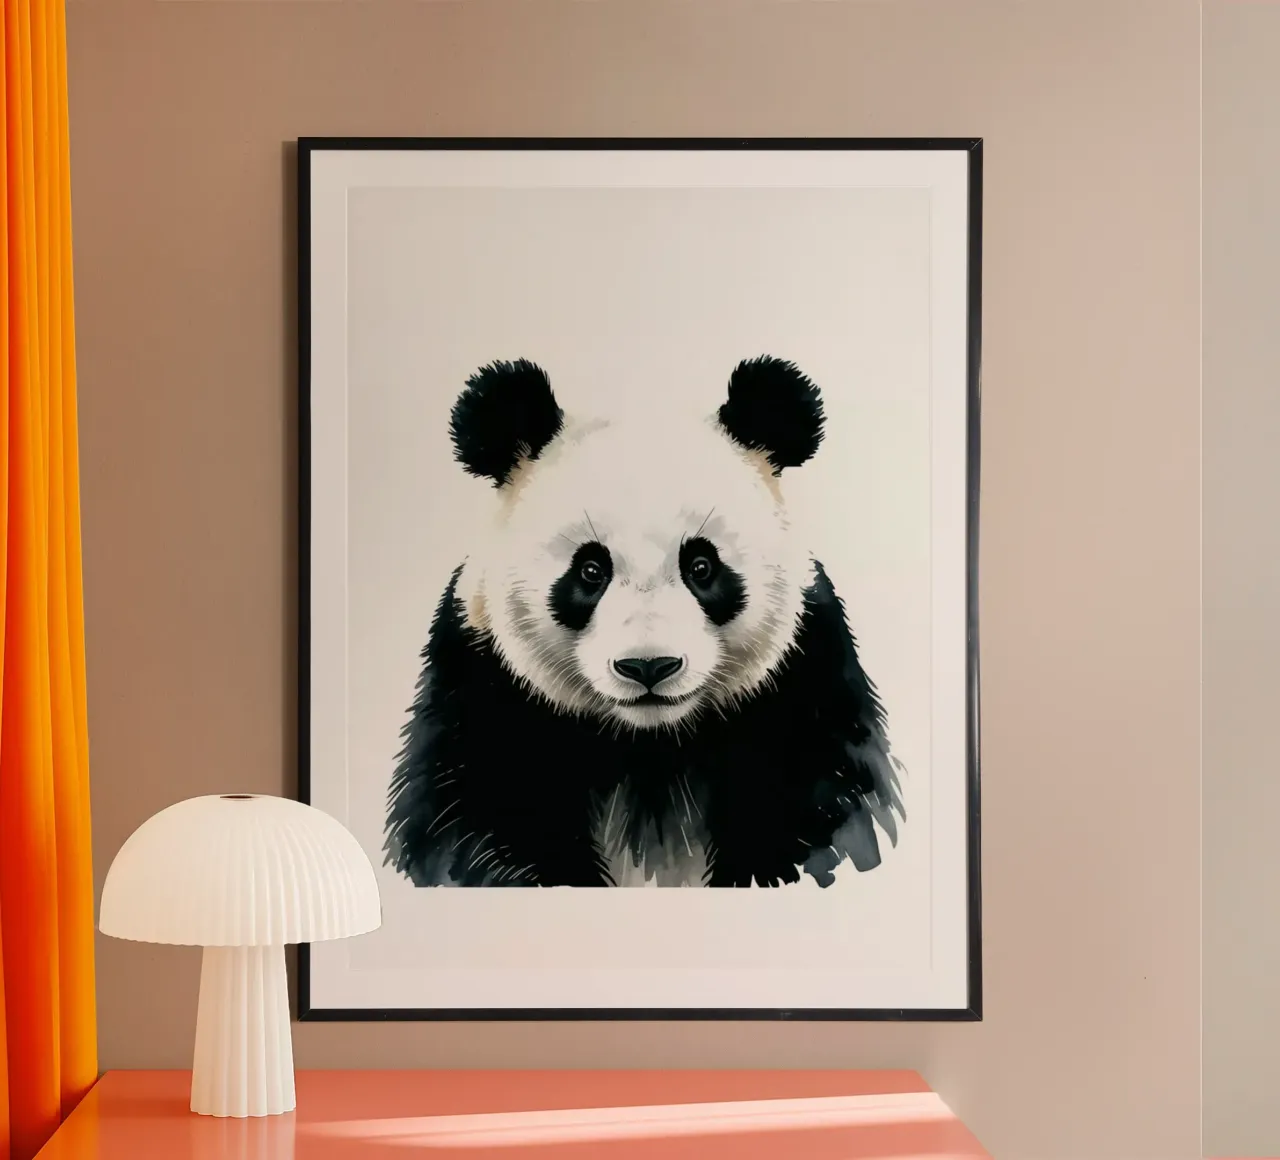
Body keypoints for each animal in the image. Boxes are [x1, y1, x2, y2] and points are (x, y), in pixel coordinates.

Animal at [383, 356, 904, 888]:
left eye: (702, 566)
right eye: (591, 570)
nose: (649, 667)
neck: (650, 746)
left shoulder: (803, 687)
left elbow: (819, 818)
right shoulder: (481, 694)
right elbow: (478, 830)